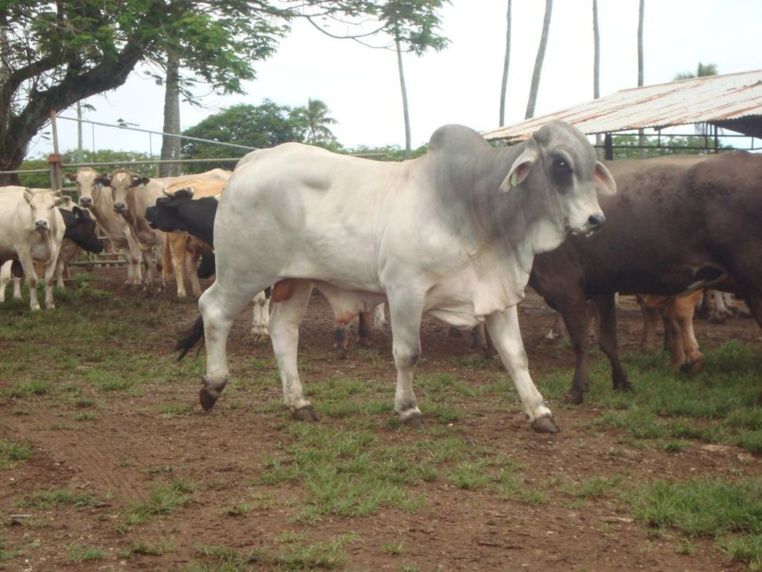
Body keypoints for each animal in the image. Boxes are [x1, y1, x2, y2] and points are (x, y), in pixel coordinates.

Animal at [175, 122, 616, 434]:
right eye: (560, 164)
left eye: (590, 165)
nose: (596, 220)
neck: (474, 206)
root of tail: (253, 161)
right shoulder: (406, 290)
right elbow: (408, 353)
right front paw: (408, 409)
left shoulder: (496, 294)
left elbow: (516, 356)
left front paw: (539, 410)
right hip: (244, 270)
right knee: (213, 311)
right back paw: (212, 386)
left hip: (295, 279)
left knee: (283, 332)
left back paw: (299, 403)